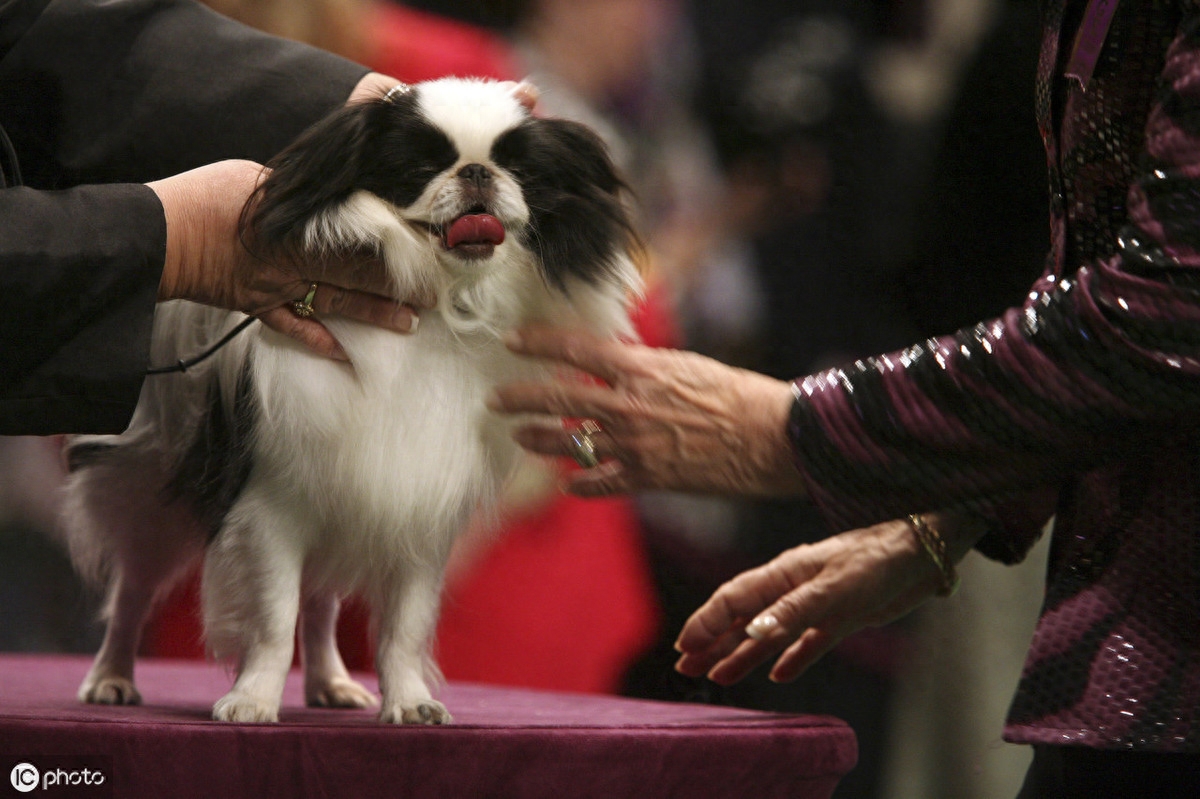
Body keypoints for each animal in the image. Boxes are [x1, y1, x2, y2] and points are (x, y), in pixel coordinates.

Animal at [60, 79, 643, 719]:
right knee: (134, 589)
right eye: (421, 167)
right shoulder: (271, 506)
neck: (441, 302)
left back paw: (330, 685)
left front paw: (409, 701)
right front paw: (252, 699)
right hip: (151, 493)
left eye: (519, 169)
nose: (476, 172)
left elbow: (401, 628)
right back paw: (111, 678)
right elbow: (273, 619)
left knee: (320, 607)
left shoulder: (417, 511)